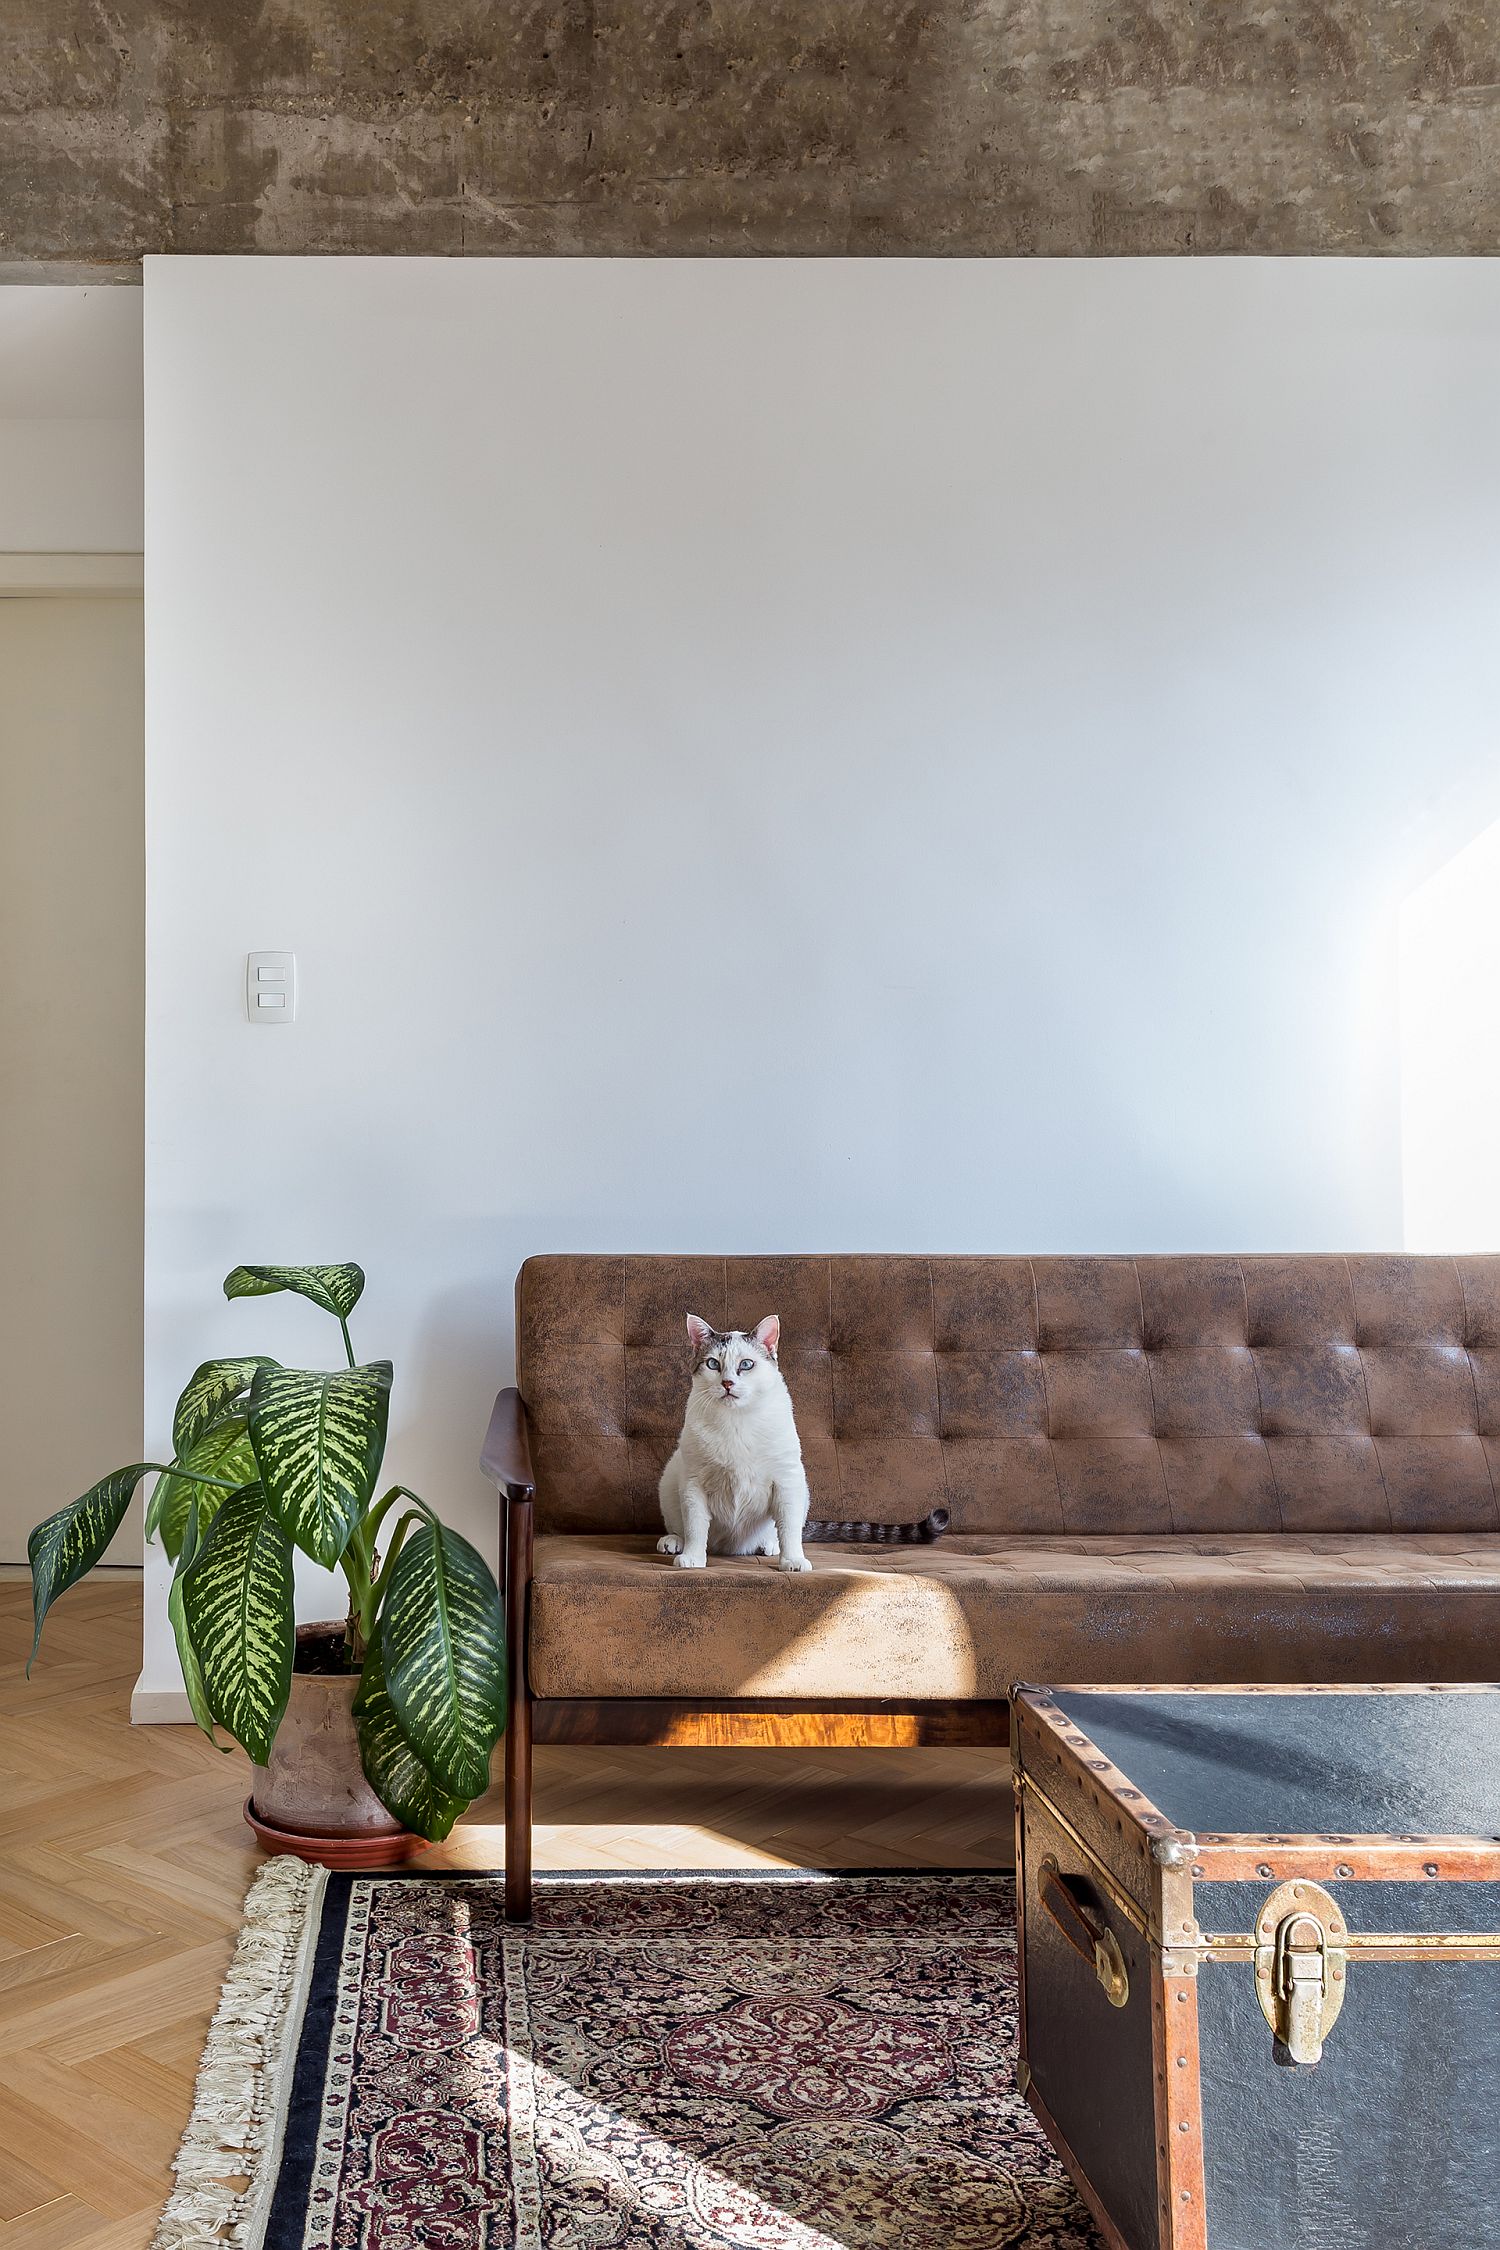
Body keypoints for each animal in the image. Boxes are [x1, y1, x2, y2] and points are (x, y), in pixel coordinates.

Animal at [661, 1314, 814, 1575]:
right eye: (713, 1364)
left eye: (746, 1364)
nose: (728, 1383)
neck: (737, 1419)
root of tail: (731, 1548)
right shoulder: (693, 1483)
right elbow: (694, 1526)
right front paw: (692, 1558)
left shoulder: (787, 1480)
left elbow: (789, 1528)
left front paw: (793, 1560)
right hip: (670, 1479)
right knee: (680, 1527)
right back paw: (673, 1541)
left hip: (802, 1489)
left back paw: (769, 1544)